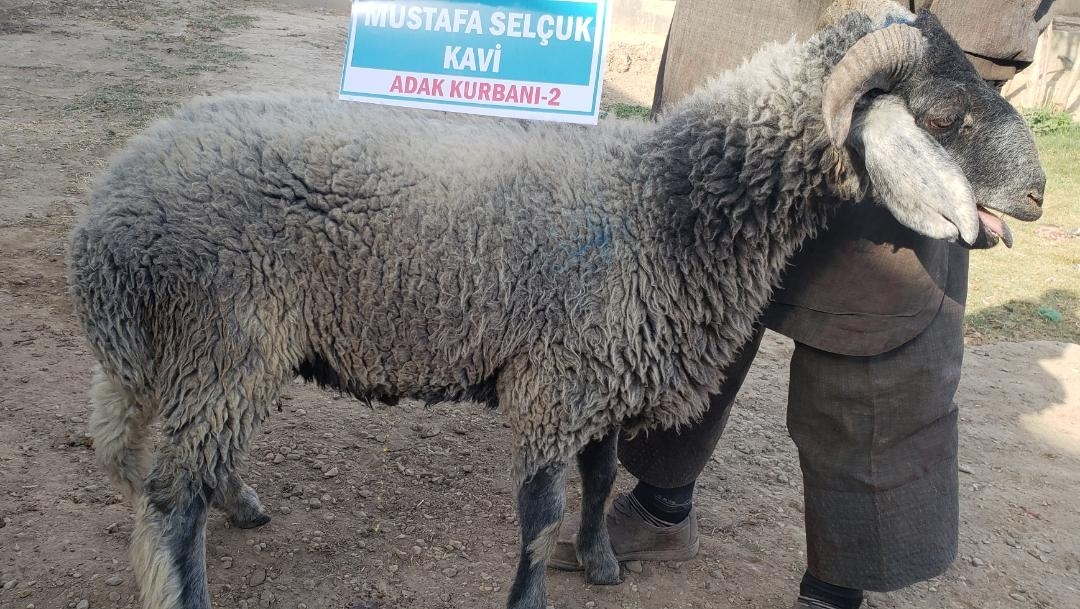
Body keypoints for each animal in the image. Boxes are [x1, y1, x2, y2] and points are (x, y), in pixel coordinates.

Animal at [69, 5, 1045, 609]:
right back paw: (190, 580)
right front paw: (531, 591)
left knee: (145, 457)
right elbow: (538, 510)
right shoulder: (553, 377)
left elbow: (603, 476)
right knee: (171, 494)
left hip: (184, 357)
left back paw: (238, 501)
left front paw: (605, 560)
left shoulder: (607, 370)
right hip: (221, 339)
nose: (1038, 195)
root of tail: (106, 216)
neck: (665, 197)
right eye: (945, 116)